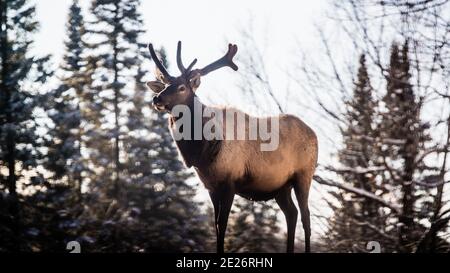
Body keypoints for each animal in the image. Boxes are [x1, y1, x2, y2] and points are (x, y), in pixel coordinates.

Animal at [146, 41, 318, 252]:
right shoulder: (211, 187)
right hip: (281, 186)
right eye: (164, 86)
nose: (157, 99)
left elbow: (223, 224)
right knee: (291, 214)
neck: (203, 152)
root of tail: (313, 133)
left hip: (304, 174)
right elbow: (215, 225)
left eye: (181, 87)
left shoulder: (230, 182)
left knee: (306, 217)